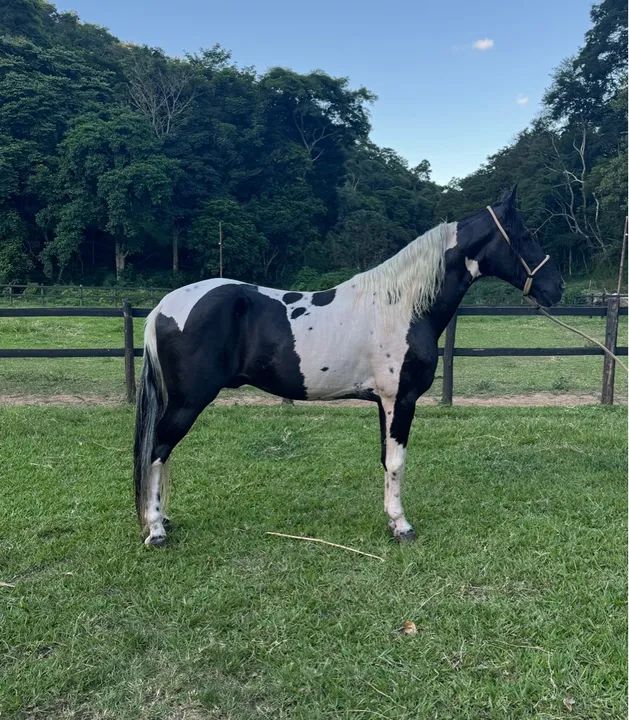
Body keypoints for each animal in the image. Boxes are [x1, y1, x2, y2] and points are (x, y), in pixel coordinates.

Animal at [134, 187, 563, 546]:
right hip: (188, 402)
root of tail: (163, 306)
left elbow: (385, 460)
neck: (401, 307)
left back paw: (164, 519)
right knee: (157, 450)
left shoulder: (383, 403)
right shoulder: (400, 400)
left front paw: (391, 519)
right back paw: (156, 530)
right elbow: (397, 462)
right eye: (527, 235)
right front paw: (402, 526)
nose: (556, 288)